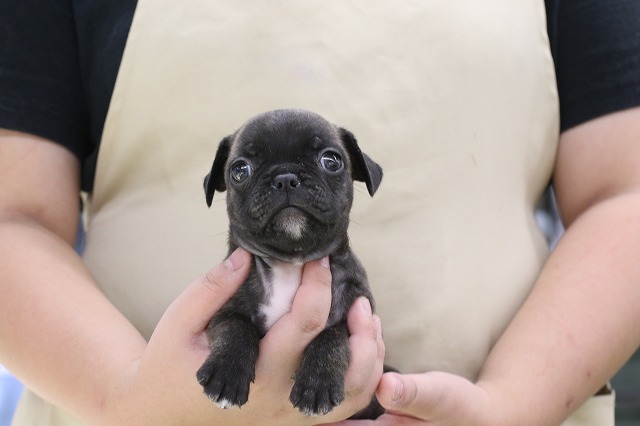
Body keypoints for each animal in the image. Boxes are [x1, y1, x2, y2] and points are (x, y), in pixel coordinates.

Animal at [198, 109, 382, 416]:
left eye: (331, 161)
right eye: (240, 170)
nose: (285, 178)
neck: (291, 263)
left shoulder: (354, 313)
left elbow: (331, 336)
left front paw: (317, 384)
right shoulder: (223, 312)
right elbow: (235, 328)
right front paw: (226, 374)